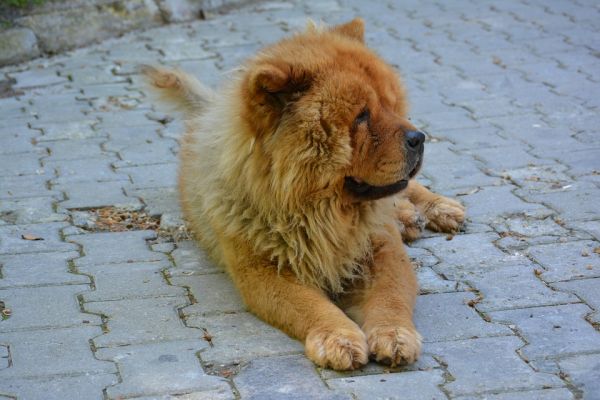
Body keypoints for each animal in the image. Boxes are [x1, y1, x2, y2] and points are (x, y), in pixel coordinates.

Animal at [144, 18, 464, 368]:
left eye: (392, 106)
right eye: (361, 116)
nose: (419, 138)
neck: (321, 212)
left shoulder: (383, 250)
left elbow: (390, 296)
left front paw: (394, 335)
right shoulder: (263, 271)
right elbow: (312, 306)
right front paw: (340, 338)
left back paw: (439, 210)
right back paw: (409, 219)